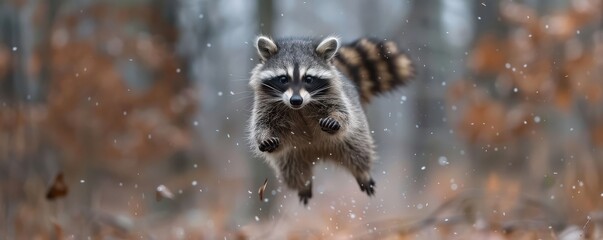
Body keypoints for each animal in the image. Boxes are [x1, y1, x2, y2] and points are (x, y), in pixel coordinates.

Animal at [248, 35, 412, 204]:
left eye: (308, 79)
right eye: (283, 79)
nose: (296, 100)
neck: (300, 108)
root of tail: (318, 151)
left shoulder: (336, 95)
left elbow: (342, 112)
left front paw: (335, 119)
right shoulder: (265, 104)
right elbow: (261, 124)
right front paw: (265, 137)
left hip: (353, 134)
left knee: (359, 150)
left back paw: (362, 172)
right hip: (292, 154)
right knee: (292, 169)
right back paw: (303, 184)